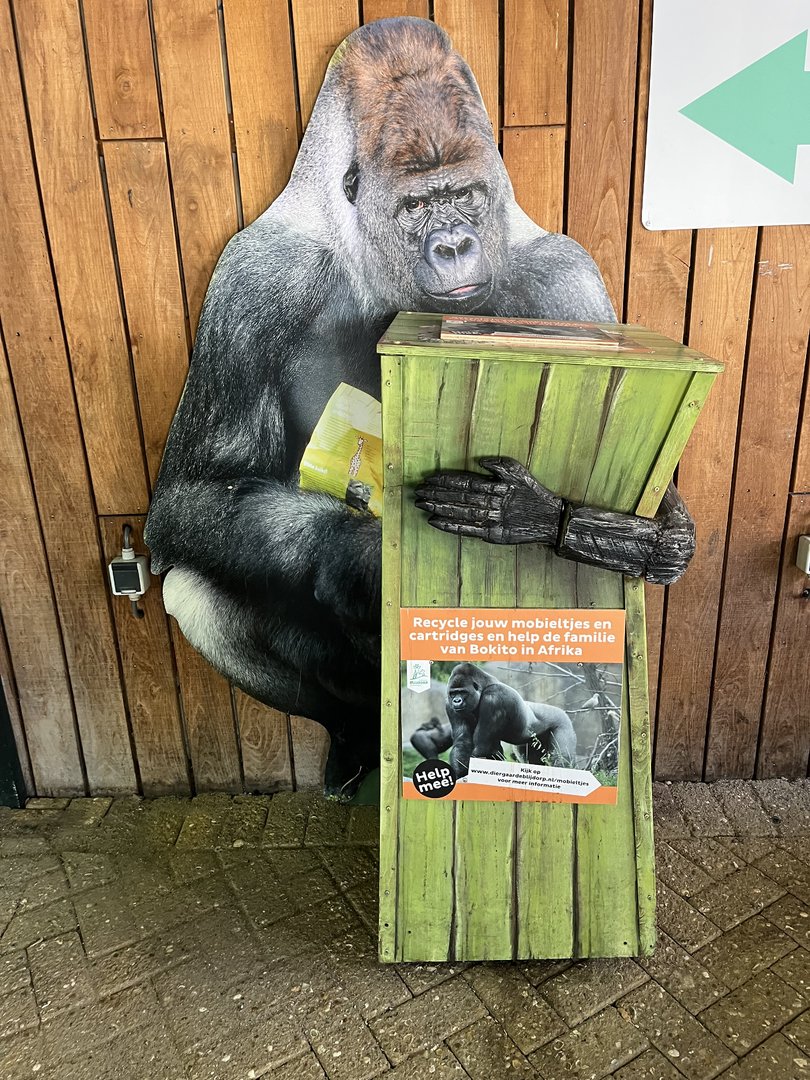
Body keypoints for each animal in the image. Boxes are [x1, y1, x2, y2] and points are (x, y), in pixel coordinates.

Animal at [445, 663, 577, 778]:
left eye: (463, 692)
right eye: (453, 693)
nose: (456, 701)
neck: (484, 686)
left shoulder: (494, 699)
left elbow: (483, 747)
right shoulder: (449, 705)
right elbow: (463, 741)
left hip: (562, 722)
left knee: (561, 760)